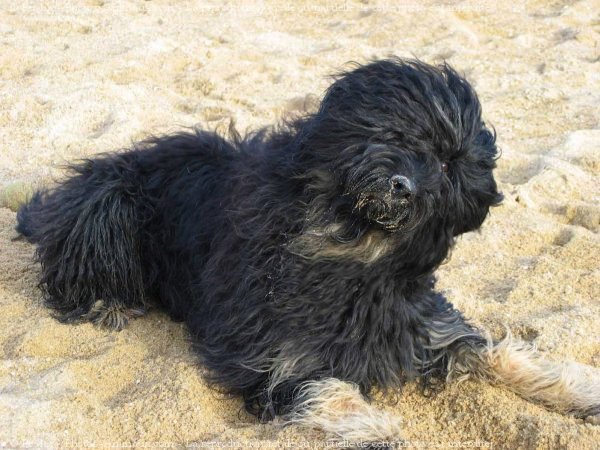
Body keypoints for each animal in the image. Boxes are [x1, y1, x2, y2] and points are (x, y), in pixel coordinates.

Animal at [16, 58, 596, 444]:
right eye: (403, 138)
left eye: (449, 167)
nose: (404, 187)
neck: (351, 247)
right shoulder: (270, 351)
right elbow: (324, 389)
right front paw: (376, 428)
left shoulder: (421, 326)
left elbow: (497, 353)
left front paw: (579, 391)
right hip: (108, 206)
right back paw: (106, 303)